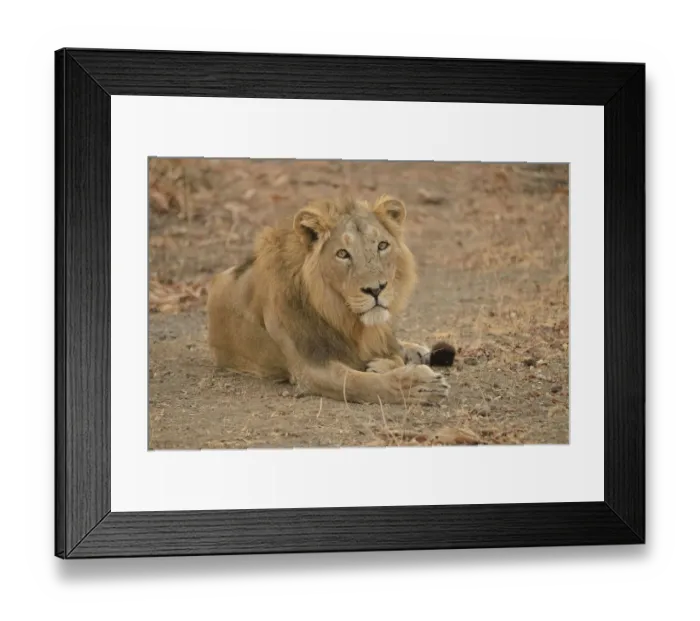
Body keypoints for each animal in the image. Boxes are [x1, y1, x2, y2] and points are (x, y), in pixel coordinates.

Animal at [206, 194, 449, 405]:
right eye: (342, 254)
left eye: (382, 245)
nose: (376, 289)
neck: (341, 314)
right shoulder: (310, 369)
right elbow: (361, 383)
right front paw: (420, 386)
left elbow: (390, 356)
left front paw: (385, 363)